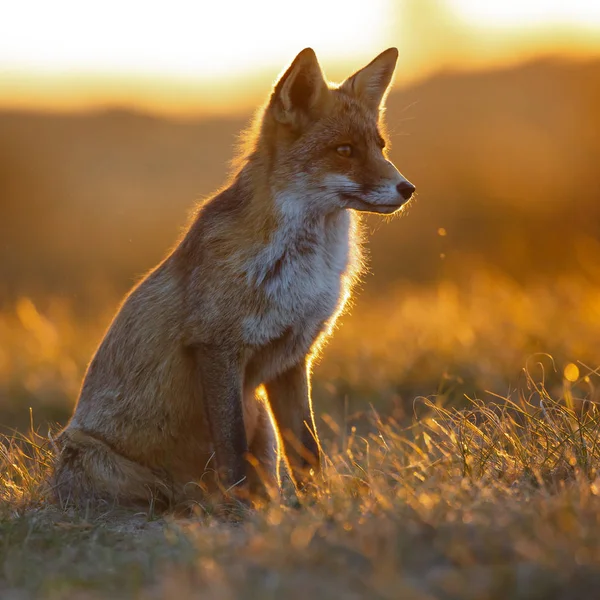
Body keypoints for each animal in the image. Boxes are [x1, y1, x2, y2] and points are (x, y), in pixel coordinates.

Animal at [51, 47, 414, 510]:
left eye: (380, 146)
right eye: (344, 149)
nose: (407, 188)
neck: (301, 272)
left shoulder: (293, 359)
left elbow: (307, 452)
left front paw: (320, 508)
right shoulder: (217, 348)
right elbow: (232, 447)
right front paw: (242, 511)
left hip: (260, 417)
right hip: (98, 458)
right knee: (167, 494)